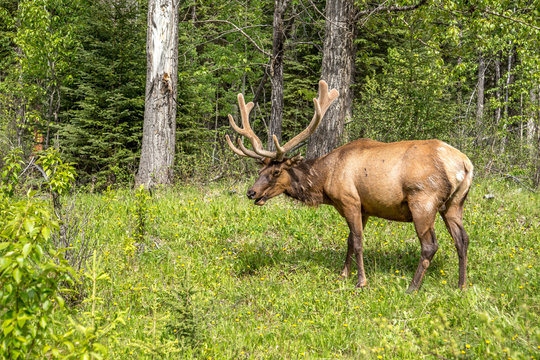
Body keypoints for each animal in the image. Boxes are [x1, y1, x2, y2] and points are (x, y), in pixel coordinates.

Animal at [227, 79, 472, 292]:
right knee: (462, 239)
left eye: (276, 172)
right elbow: (348, 241)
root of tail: (463, 164)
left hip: (423, 201)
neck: (325, 181)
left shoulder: (350, 201)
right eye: (260, 171)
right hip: (454, 203)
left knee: (430, 245)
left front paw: (361, 281)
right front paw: (343, 274)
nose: (251, 192)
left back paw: (412, 288)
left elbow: (357, 242)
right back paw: (461, 286)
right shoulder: (364, 208)